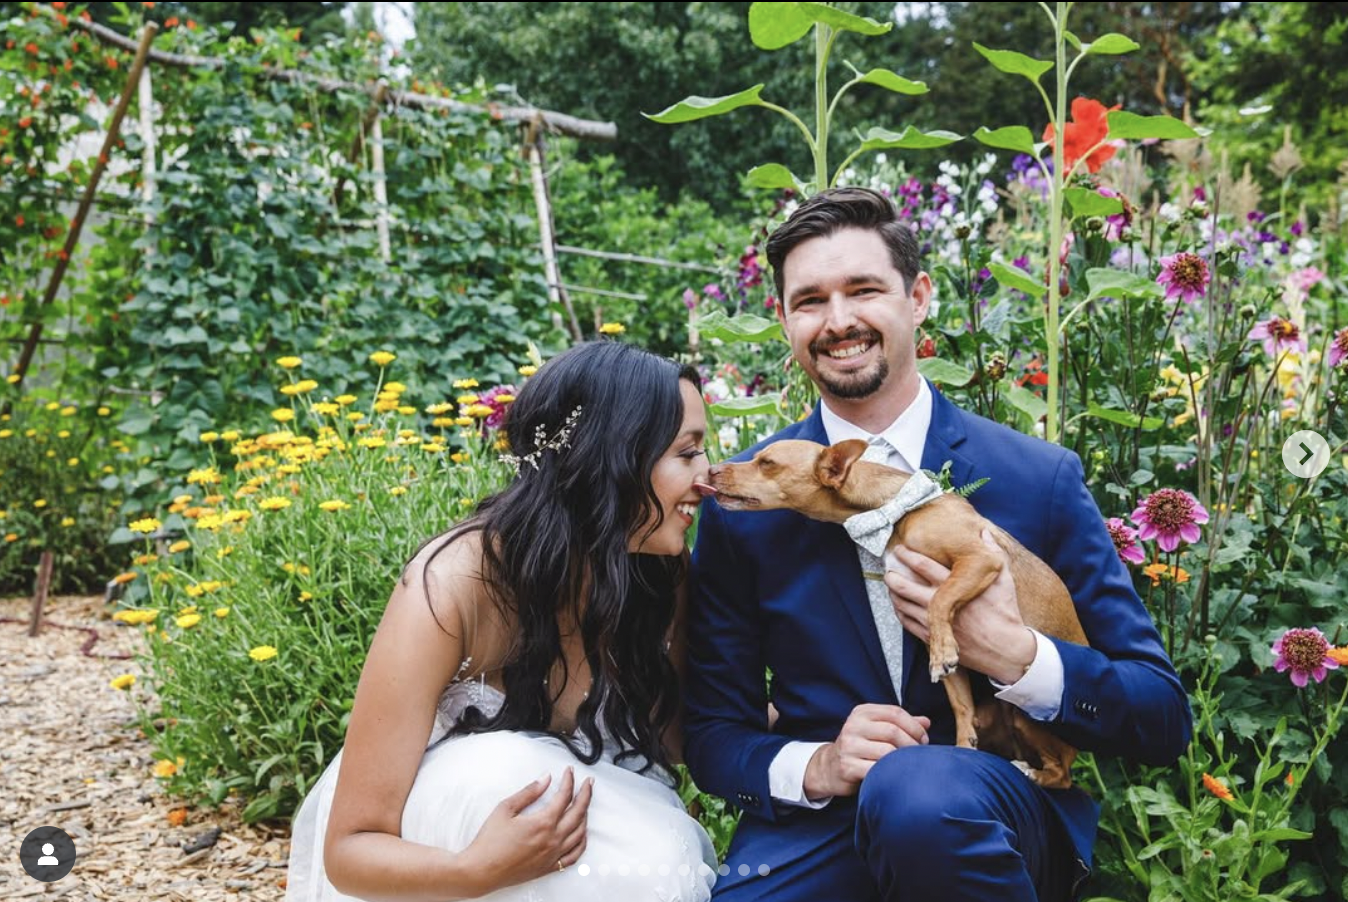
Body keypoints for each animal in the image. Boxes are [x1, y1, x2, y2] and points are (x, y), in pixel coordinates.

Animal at [704, 438, 1088, 789]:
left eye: (767, 463)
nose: (711, 470)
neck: (893, 509)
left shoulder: (980, 559)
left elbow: (940, 600)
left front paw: (943, 653)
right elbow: (960, 704)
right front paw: (964, 748)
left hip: (1031, 721)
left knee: (1063, 776)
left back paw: (1034, 773)